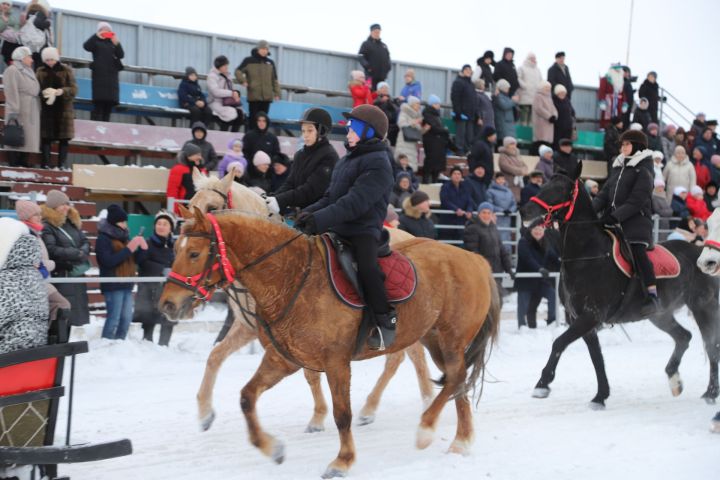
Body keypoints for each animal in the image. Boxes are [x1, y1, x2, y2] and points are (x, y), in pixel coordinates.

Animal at [160, 207, 498, 480]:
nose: (167, 305)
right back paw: (460, 441)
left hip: (451, 338)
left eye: (194, 253)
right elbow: (246, 397)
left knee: (452, 377)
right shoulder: (283, 360)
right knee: (457, 381)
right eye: (175, 248)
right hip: (433, 339)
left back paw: (425, 430)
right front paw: (272, 448)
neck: (292, 277)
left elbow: (341, 414)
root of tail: (474, 258)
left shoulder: (336, 363)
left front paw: (342, 462)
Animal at [187, 166, 434, 432]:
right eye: (190, 204)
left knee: (398, 358)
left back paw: (375, 408)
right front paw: (204, 414)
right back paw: (423, 399)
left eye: (212, 207)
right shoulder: (248, 326)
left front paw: (317, 418)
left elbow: (311, 373)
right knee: (412, 356)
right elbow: (215, 356)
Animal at [520, 163, 716, 406]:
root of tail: (704, 254)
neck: (586, 255)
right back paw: (675, 379)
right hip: (661, 315)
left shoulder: (590, 316)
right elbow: (596, 357)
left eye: (561, 189)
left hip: (703, 307)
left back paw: (710, 393)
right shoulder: (582, 319)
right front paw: (600, 395)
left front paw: (542, 383)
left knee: (711, 346)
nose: (524, 211)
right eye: (543, 184)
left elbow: (559, 343)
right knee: (684, 337)